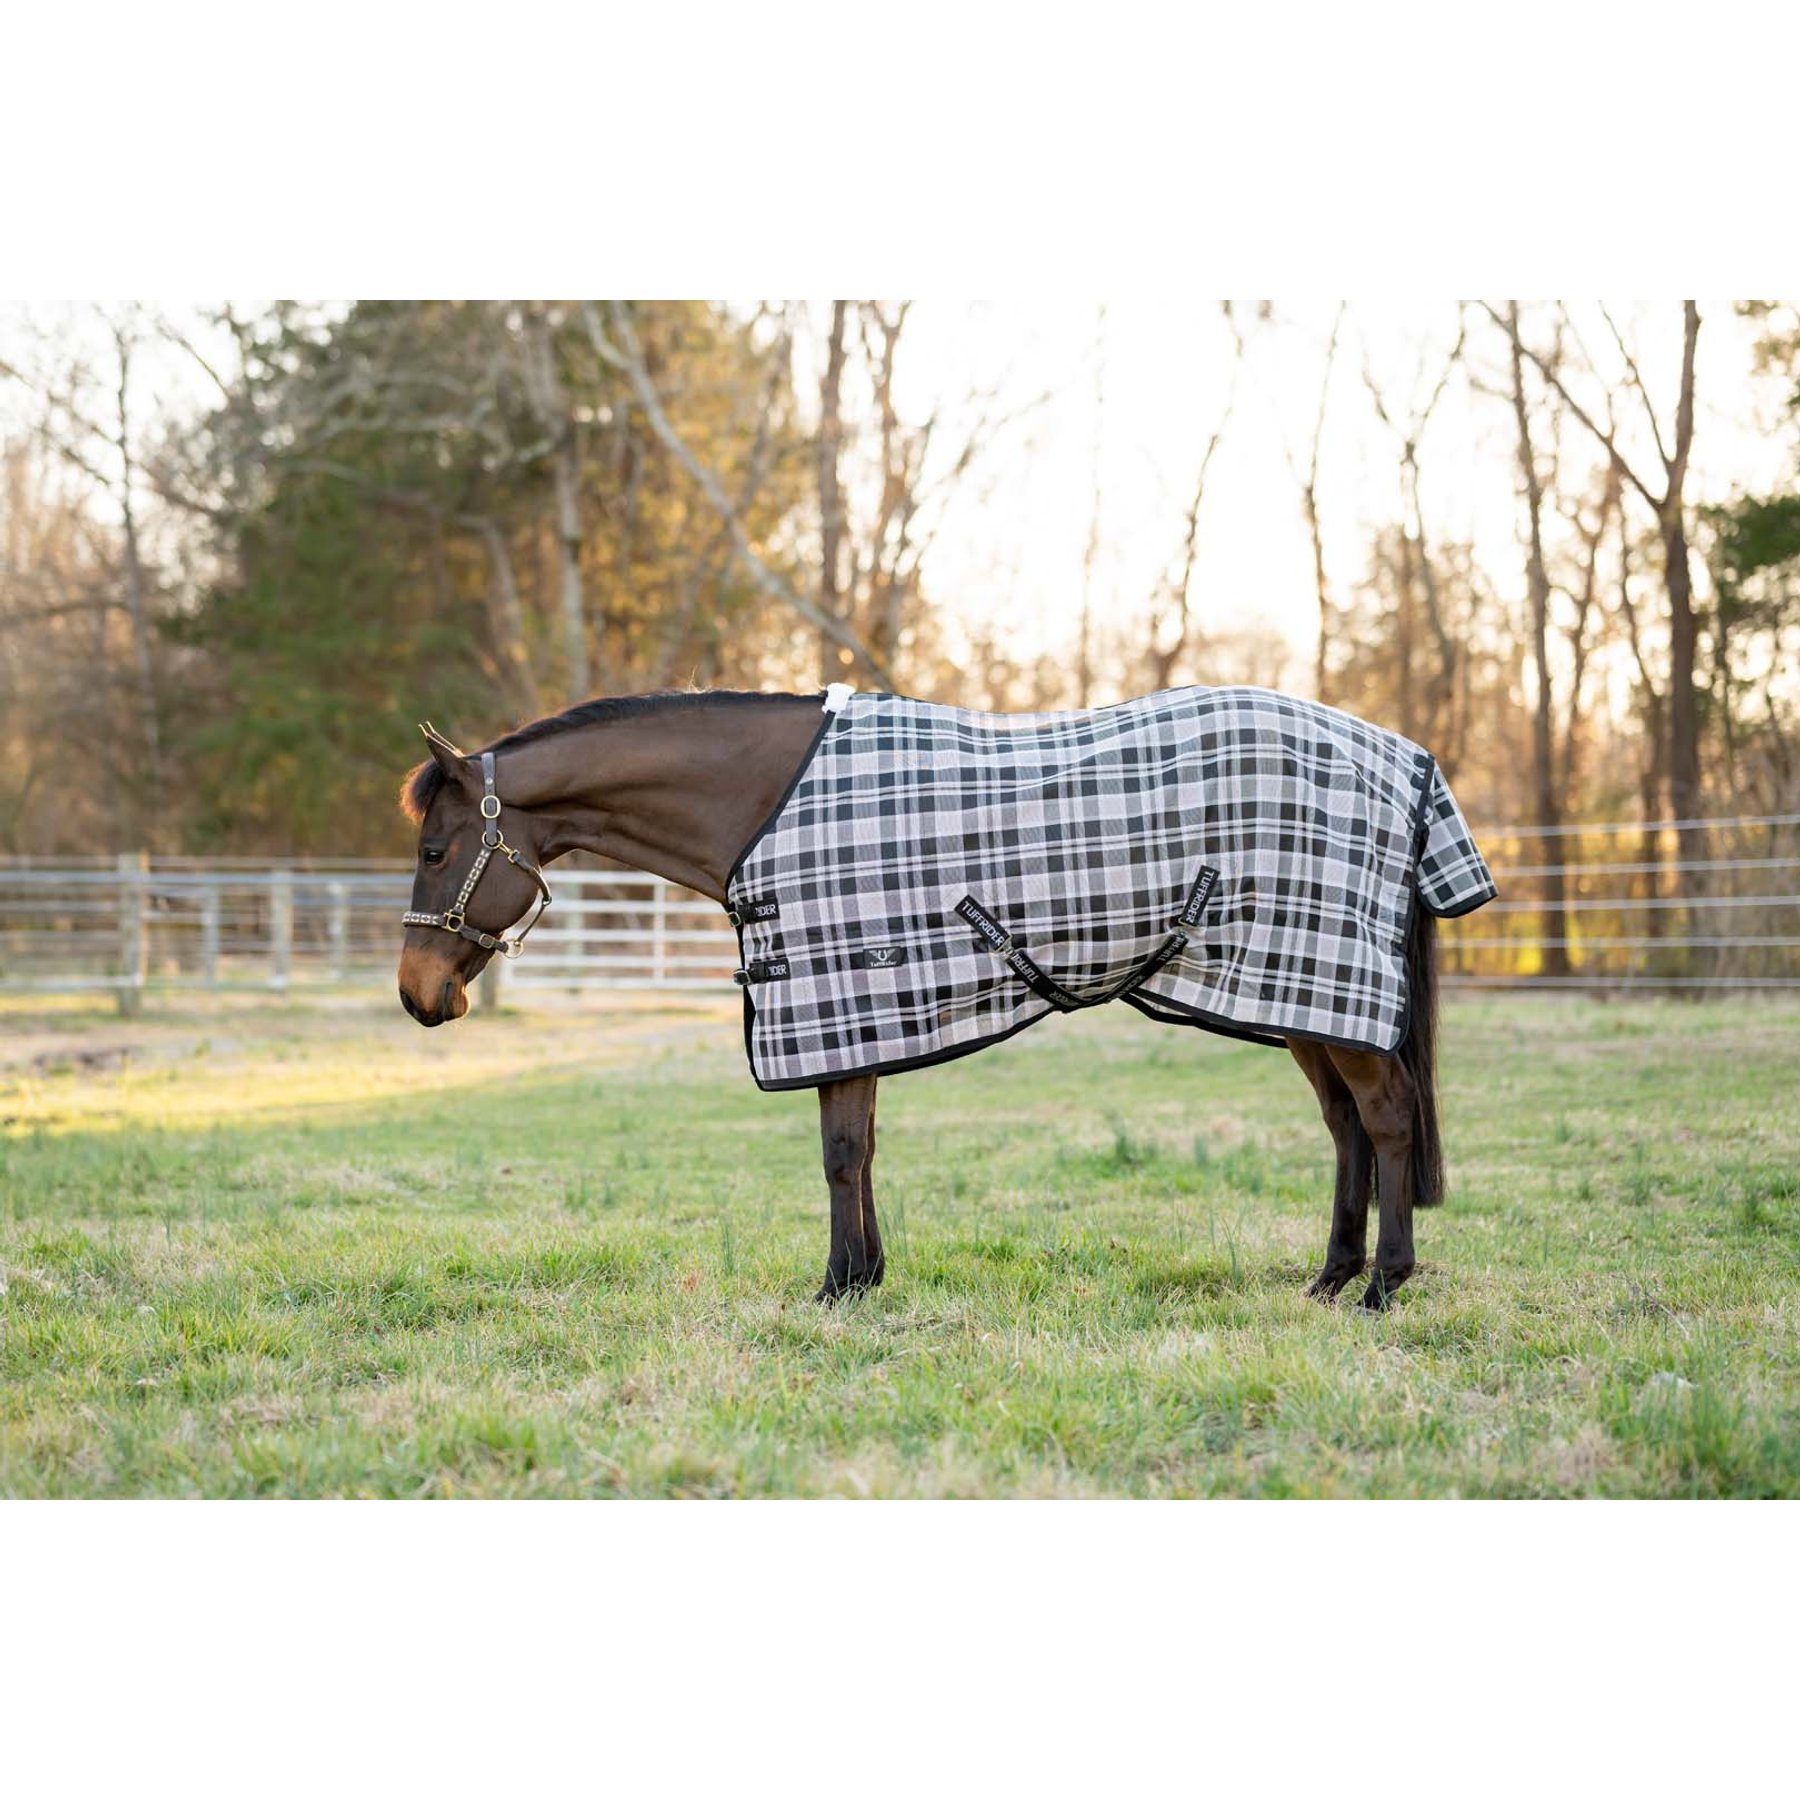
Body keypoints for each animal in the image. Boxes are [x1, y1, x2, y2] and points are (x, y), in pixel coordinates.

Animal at [397, 686, 1489, 1311]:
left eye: (435, 850)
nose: (417, 996)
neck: (766, 805)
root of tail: (1406, 760)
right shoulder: (856, 1008)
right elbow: (861, 1148)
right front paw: (865, 1276)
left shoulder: (839, 993)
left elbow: (839, 1153)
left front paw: (837, 1289)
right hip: (1295, 992)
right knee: (1347, 1127)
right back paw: (1331, 1277)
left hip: (1324, 988)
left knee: (1388, 1119)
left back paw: (1384, 1285)